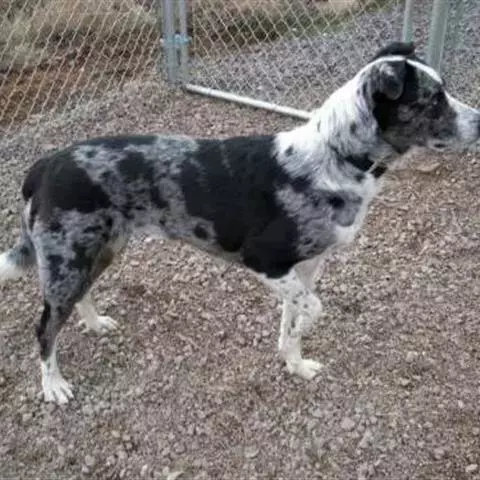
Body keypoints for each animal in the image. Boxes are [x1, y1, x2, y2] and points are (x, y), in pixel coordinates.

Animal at [0, 42, 479, 404]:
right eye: (434, 99)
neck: (336, 156)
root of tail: (46, 164)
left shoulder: (305, 268)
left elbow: (292, 318)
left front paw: (294, 363)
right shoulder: (266, 262)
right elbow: (314, 310)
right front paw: (299, 341)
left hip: (97, 251)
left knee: (74, 300)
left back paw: (95, 323)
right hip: (69, 257)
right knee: (45, 326)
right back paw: (53, 385)